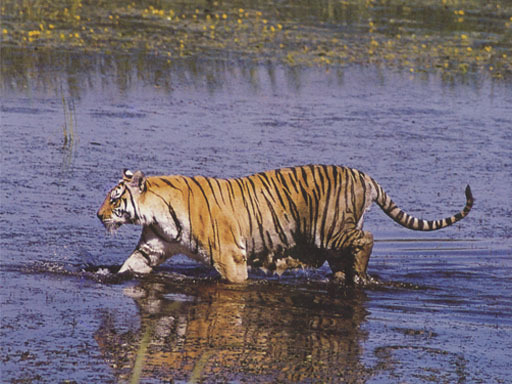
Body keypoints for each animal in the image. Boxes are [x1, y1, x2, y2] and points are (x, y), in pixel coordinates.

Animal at [96, 166, 472, 284]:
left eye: (114, 199)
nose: (99, 216)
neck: (155, 212)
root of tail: (363, 175)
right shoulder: (152, 246)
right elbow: (131, 266)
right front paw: (108, 277)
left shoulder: (230, 255)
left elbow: (235, 282)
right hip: (329, 242)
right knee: (344, 258)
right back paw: (345, 278)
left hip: (331, 229)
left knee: (367, 238)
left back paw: (360, 275)